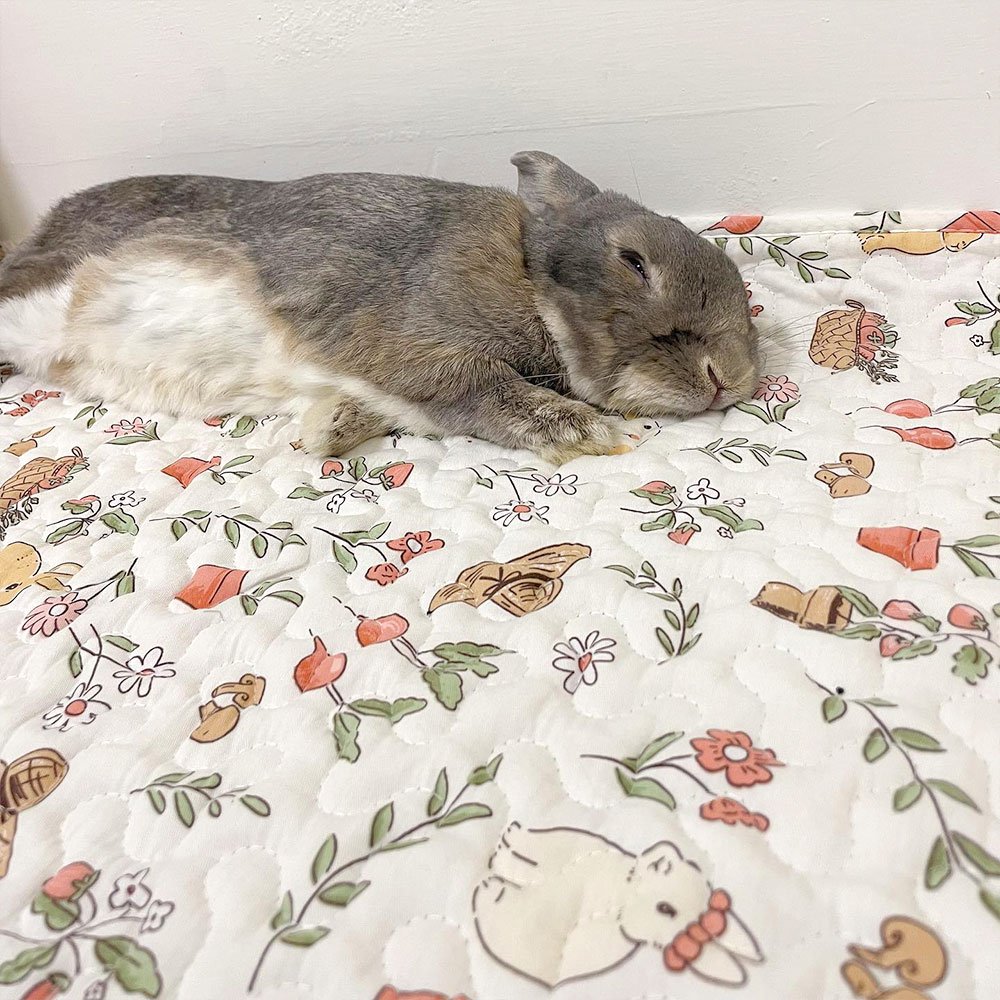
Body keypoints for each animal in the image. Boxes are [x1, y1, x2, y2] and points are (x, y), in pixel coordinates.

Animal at [0, 153, 759, 463]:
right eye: (633, 261)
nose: (732, 376)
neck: (527, 276)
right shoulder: (422, 347)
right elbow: (485, 390)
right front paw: (585, 432)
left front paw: (321, 434)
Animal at [472, 822, 762, 989]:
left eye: (665, 909)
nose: (664, 857)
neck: (621, 893)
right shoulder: (578, 850)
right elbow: (540, 850)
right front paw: (511, 842)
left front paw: (500, 869)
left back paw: (491, 887)